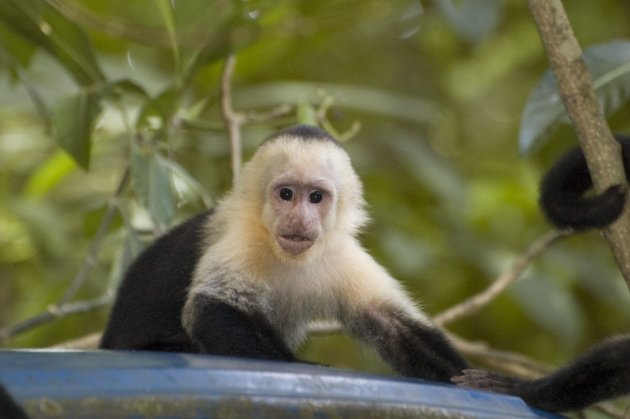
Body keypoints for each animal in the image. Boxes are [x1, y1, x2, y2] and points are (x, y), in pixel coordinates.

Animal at [102, 124, 470, 384]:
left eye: (316, 197)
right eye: (286, 194)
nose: (299, 220)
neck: (290, 258)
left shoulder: (341, 254)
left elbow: (392, 324)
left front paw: (477, 381)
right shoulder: (243, 239)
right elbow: (208, 309)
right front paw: (302, 365)